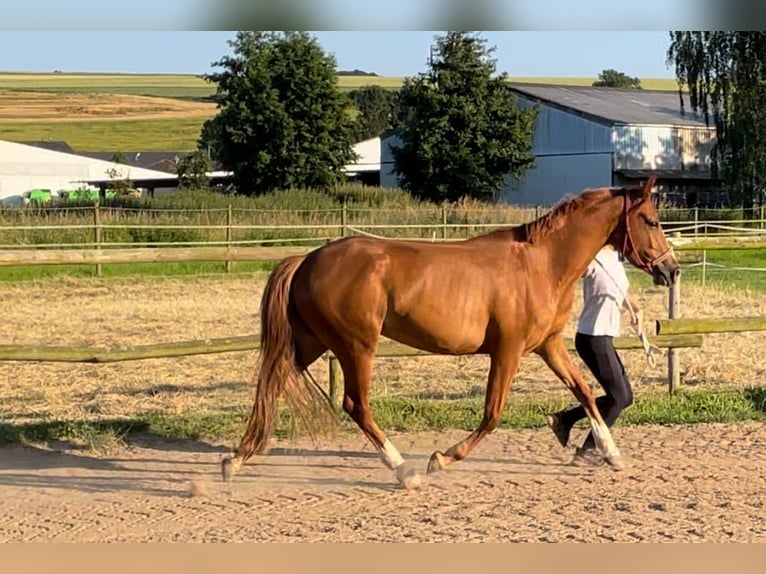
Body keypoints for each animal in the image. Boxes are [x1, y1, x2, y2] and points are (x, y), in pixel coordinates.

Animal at [220, 178, 680, 488]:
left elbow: (584, 391)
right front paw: (442, 459)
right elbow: (493, 413)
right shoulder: (507, 350)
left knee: (273, 383)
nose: (671, 270)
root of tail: (307, 259)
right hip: (356, 346)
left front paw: (611, 454)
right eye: (651, 220)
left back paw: (237, 460)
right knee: (355, 405)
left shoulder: (546, 346)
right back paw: (404, 471)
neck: (541, 264)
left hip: (313, 341)